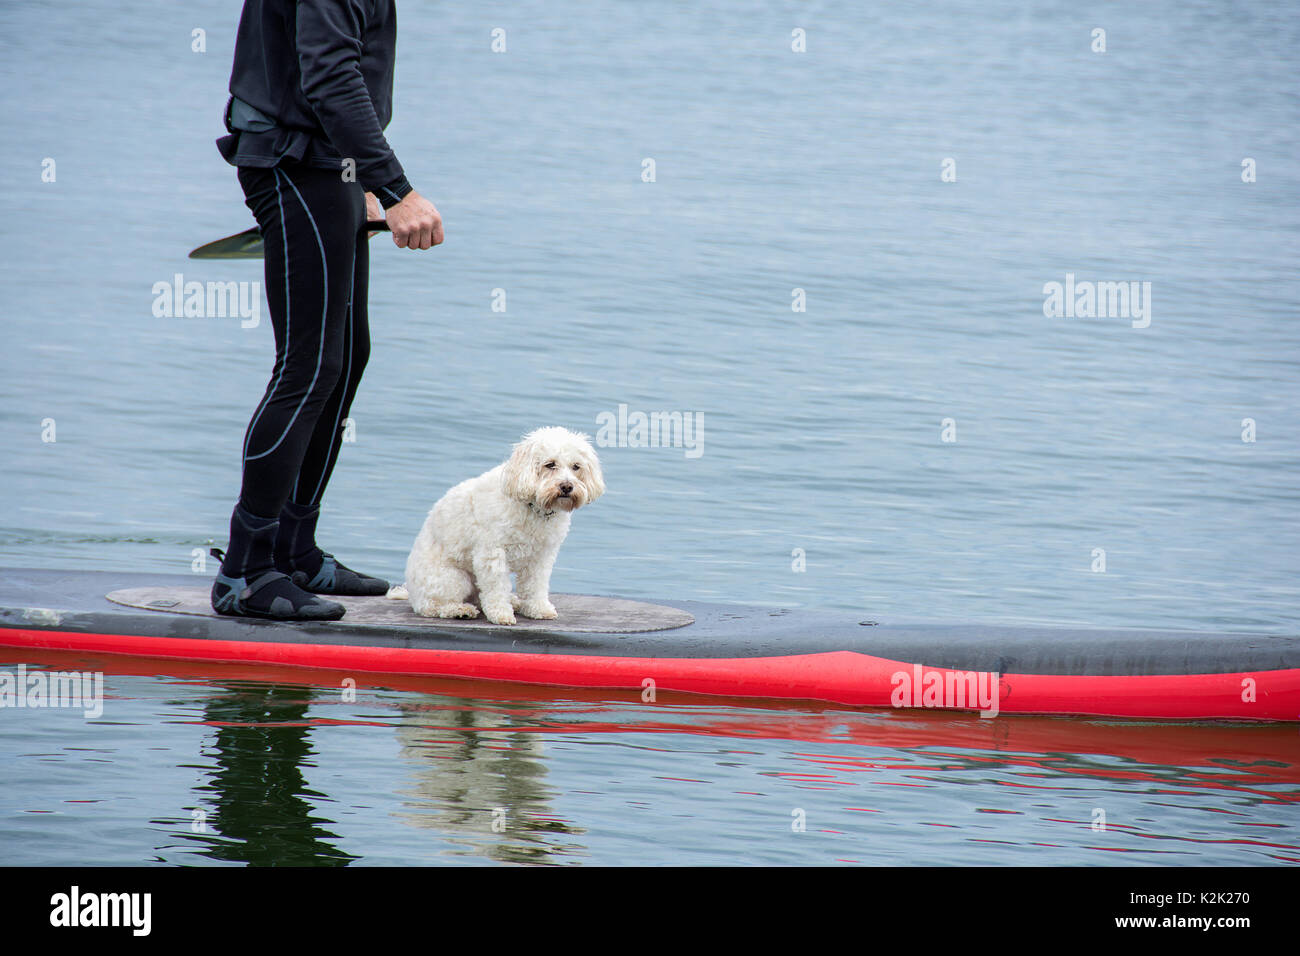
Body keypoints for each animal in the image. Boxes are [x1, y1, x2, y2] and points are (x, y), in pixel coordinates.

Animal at [390, 429, 603, 629]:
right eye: (550, 464)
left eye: (576, 466)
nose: (567, 486)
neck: (533, 507)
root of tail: (410, 591)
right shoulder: (492, 553)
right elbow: (496, 586)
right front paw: (501, 614)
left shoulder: (541, 556)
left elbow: (535, 585)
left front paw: (539, 608)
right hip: (453, 579)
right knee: (432, 606)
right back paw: (460, 610)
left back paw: (512, 601)